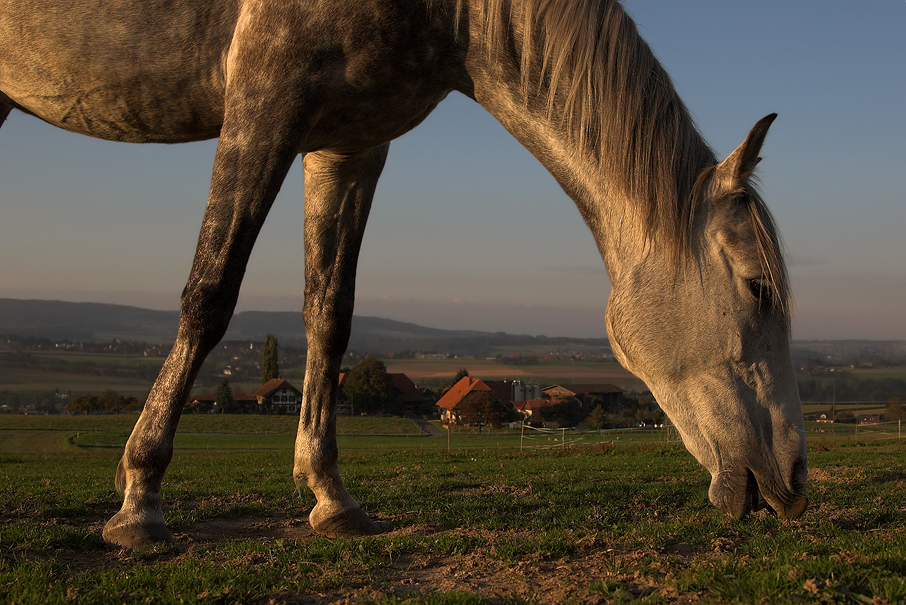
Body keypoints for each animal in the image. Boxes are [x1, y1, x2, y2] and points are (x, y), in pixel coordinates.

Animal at [0, 0, 804, 548]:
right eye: (758, 288)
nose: (794, 482)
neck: (450, 13)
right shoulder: (263, 99)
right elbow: (211, 292)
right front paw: (139, 498)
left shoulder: (349, 143)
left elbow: (330, 316)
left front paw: (331, 496)